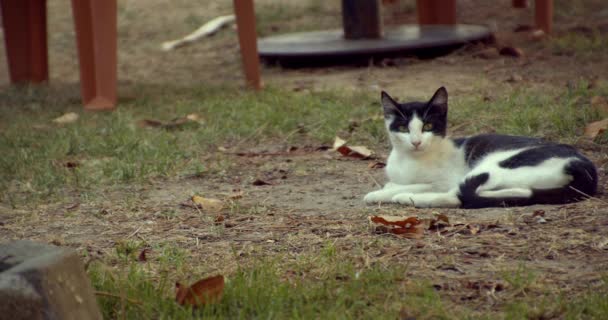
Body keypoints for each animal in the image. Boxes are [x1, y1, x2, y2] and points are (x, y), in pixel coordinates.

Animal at [364, 87, 596, 210]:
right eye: (403, 128)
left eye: (428, 126)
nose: (416, 142)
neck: (410, 160)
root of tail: (582, 165)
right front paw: (391, 186)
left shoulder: (443, 180)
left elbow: (422, 185)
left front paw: (381, 193)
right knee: (521, 191)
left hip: (494, 165)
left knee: (457, 196)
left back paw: (407, 198)